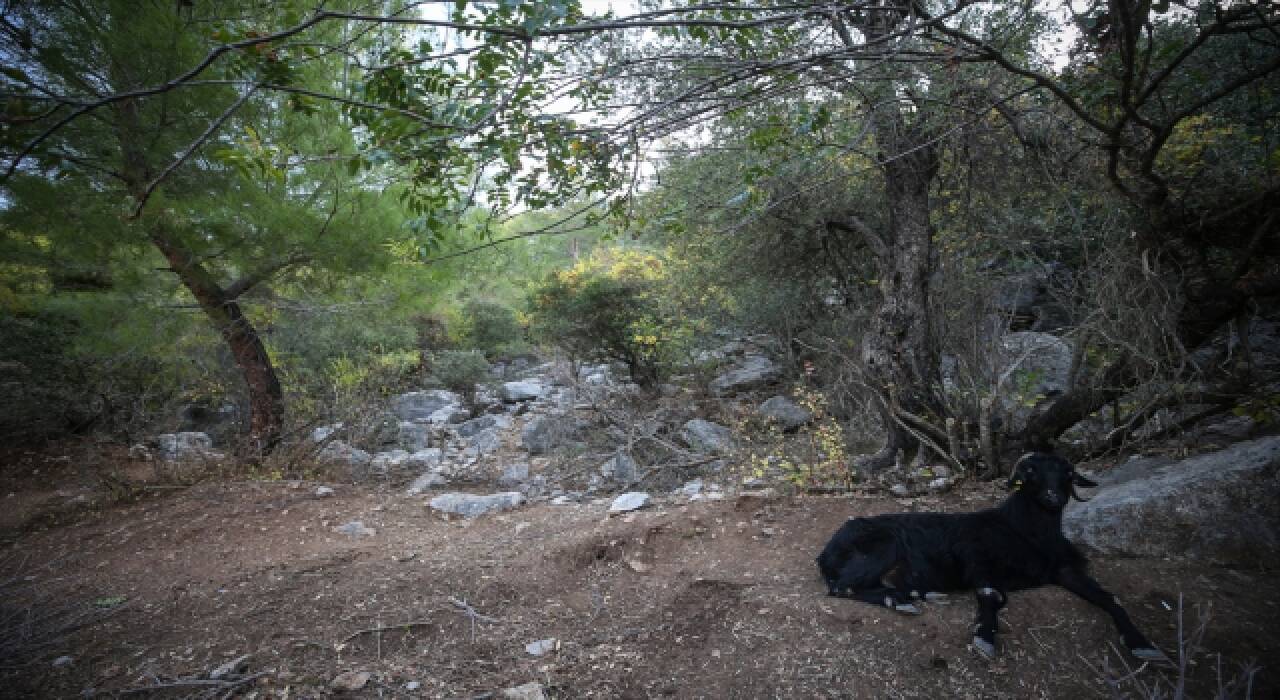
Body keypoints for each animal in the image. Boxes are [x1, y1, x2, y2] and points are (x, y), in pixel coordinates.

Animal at [814, 453, 1167, 660]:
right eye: (1031, 473)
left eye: (1067, 474)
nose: (1053, 496)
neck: (1023, 531)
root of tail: (825, 553)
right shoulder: (978, 562)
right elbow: (990, 594)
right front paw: (984, 636)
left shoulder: (1066, 570)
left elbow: (1111, 598)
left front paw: (1143, 644)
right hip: (883, 547)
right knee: (842, 587)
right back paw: (898, 600)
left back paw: (915, 594)